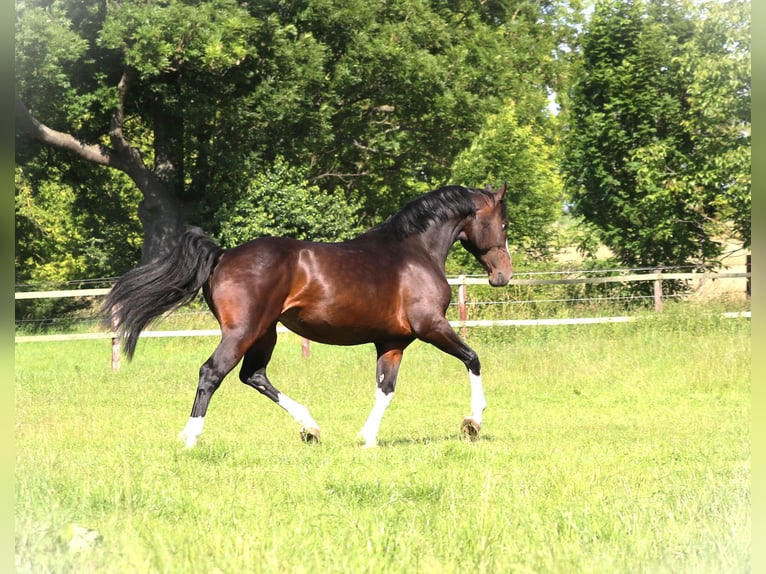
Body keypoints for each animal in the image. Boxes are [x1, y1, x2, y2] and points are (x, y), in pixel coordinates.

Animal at [100, 184, 510, 450]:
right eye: (504, 224)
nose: (502, 275)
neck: (414, 252)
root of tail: (222, 255)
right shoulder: (431, 326)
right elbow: (472, 359)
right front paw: (473, 422)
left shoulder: (392, 342)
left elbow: (385, 389)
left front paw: (367, 439)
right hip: (243, 331)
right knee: (212, 373)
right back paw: (191, 437)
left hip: (265, 333)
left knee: (254, 376)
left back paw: (310, 428)